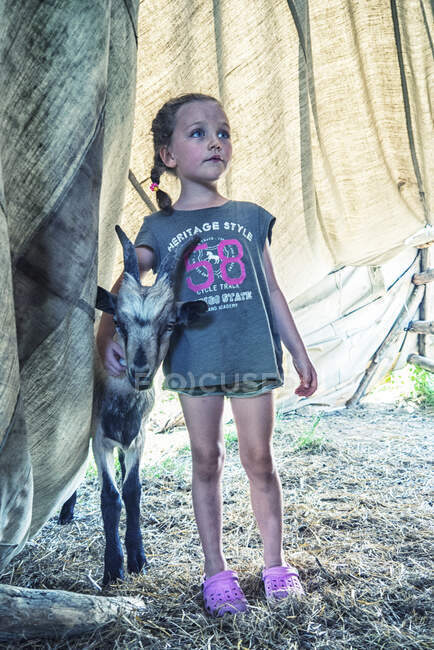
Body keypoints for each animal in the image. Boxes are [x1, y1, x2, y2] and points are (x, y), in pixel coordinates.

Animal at [59, 227, 207, 584]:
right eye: (119, 323)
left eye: (170, 325)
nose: (139, 371)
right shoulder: (99, 437)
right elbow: (110, 497)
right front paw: (114, 566)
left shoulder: (139, 436)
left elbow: (133, 490)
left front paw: (137, 557)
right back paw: (66, 510)